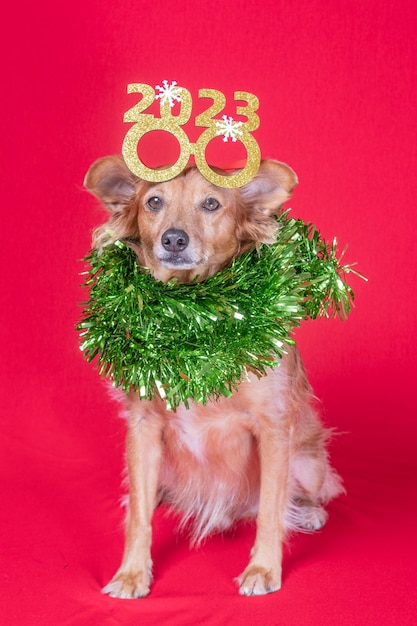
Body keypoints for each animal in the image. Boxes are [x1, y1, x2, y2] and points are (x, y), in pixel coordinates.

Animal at [83, 156, 342, 596]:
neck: (194, 319)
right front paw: (132, 573)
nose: (173, 240)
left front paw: (263, 569)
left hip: (307, 462)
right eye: (154, 202)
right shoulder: (143, 426)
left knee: (299, 495)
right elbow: (139, 517)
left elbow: (271, 509)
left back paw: (307, 513)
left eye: (211, 204)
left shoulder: (273, 427)